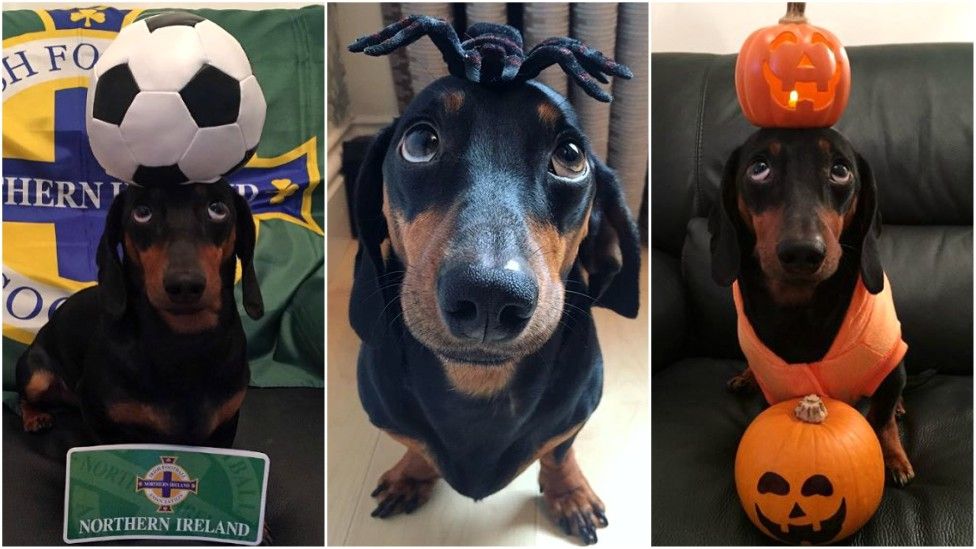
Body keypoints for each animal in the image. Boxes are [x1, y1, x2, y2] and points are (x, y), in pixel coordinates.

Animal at [17, 182, 264, 448]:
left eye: (217, 209)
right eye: (142, 212)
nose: (184, 284)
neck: (184, 341)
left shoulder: (224, 428)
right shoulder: (100, 423)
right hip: (36, 376)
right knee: (23, 397)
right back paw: (34, 417)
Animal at [348, 73, 640, 548]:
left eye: (571, 156)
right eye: (420, 142)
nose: (489, 295)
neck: (478, 380)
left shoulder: (577, 411)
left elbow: (558, 451)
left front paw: (569, 494)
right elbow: (414, 442)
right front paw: (412, 474)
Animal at [708, 127, 916, 484]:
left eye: (841, 170)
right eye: (758, 168)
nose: (803, 252)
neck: (800, 306)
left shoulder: (889, 361)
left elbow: (883, 416)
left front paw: (893, 458)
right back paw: (746, 377)